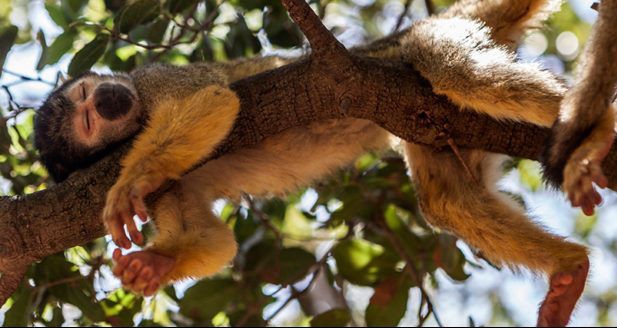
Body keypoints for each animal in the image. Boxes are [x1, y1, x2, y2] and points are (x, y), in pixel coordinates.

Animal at [36, 0, 584, 326]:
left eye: (86, 97)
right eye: (88, 122)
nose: (108, 100)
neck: (134, 130)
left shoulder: (151, 82)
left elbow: (214, 99)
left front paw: (132, 181)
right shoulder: (171, 190)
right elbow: (216, 242)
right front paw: (156, 263)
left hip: (433, 36)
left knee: (457, 74)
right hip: (435, 123)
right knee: (446, 199)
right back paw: (569, 269)